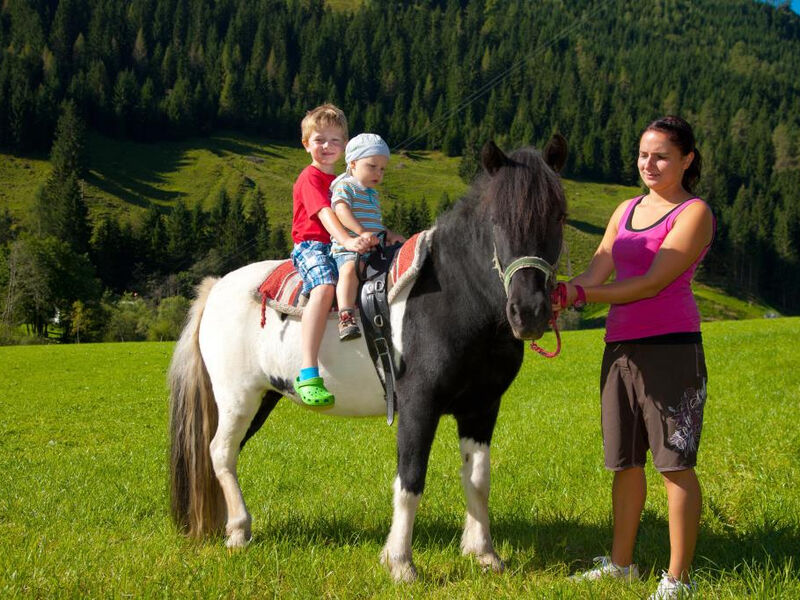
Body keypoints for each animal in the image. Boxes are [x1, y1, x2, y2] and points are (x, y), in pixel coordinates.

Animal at [169, 137, 568, 580]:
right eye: (496, 220)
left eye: (559, 216)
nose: (529, 312)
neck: (454, 297)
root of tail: (217, 286)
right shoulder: (418, 405)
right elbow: (410, 481)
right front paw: (400, 562)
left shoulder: (481, 408)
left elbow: (478, 479)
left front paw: (484, 554)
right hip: (238, 397)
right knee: (221, 452)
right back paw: (238, 531)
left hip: (262, 398)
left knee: (228, 452)